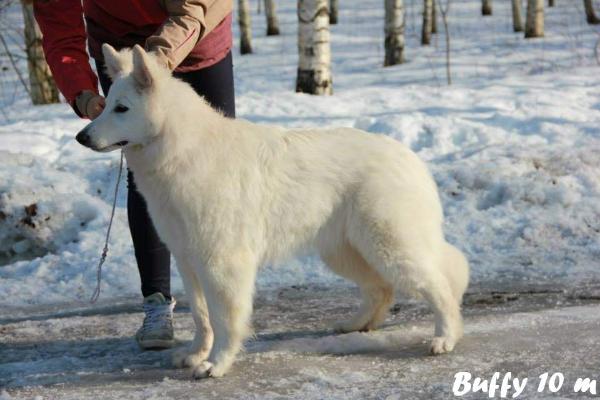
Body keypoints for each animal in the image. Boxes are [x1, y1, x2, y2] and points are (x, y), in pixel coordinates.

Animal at [76, 44, 468, 378]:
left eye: (122, 108)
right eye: (106, 105)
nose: (82, 137)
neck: (182, 149)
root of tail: (409, 157)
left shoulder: (221, 263)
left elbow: (223, 318)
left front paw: (216, 363)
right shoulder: (188, 261)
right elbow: (202, 317)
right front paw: (196, 354)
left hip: (389, 247)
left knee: (439, 287)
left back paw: (445, 338)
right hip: (344, 251)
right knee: (381, 289)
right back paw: (356, 325)